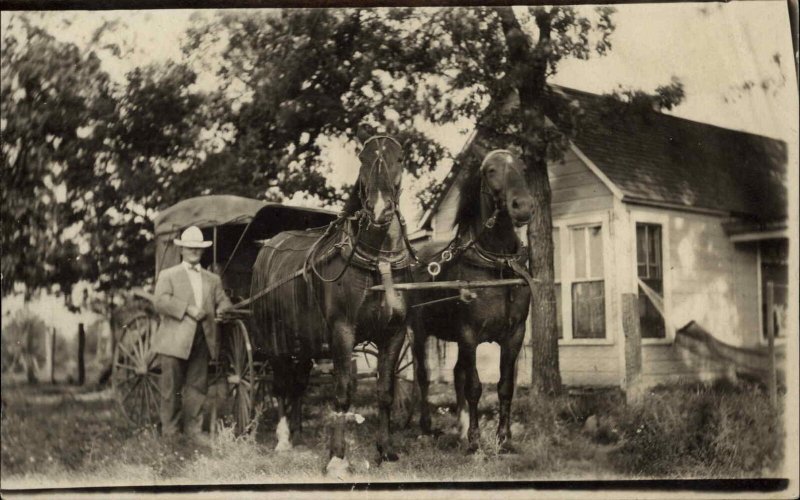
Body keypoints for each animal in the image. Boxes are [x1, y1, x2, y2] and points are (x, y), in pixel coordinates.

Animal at [250, 137, 412, 476]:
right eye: (363, 159)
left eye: (400, 158)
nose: (380, 209)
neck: (378, 261)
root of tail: (269, 245)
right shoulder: (342, 332)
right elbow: (342, 392)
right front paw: (337, 458)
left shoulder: (395, 332)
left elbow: (385, 391)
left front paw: (386, 451)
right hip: (274, 342)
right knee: (281, 384)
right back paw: (283, 439)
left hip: (304, 343)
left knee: (298, 384)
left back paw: (298, 433)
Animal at [410, 148, 536, 454]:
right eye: (490, 170)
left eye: (522, 167)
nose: (523, 206)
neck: (497, 266)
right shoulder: (469, 334)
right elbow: (475, 387)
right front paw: (476, 440)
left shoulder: (514, 335)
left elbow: (504, 386)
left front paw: (504, 439)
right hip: (418, 332)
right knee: (423, 374)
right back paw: (426, 426)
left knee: (456, 374)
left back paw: (460, 427)